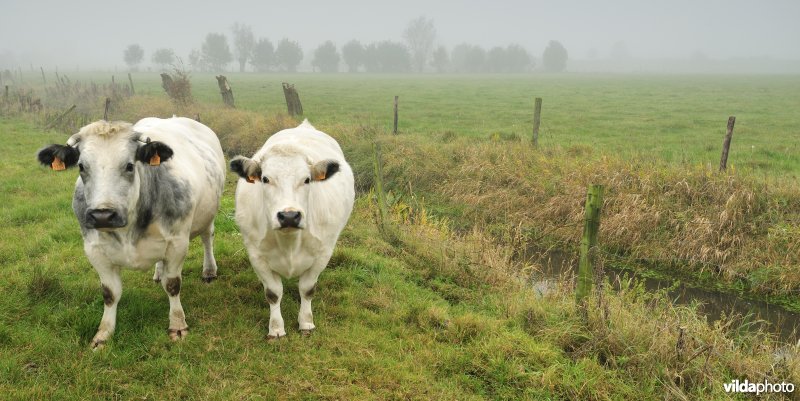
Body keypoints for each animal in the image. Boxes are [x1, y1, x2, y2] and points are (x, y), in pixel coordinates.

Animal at [37, 116, 225, 346]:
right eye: (81, 166)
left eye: (129, 166)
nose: (102, 215)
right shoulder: (94, 250)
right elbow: (110, 293)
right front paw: (103, 334)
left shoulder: (177, 243)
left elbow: (173, 285)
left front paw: (178, 325)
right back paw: (158, 273)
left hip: (208, 214)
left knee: (208, 238)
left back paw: (209, 271)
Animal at [228, 119, 354, 338]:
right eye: (265, 179)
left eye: (307, 179)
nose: (289, 216)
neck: (289, 242)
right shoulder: (256, 255)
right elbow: (273, 293)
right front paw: (276, 328)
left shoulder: (323, 253)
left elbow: (308, 289)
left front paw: (306, 323)